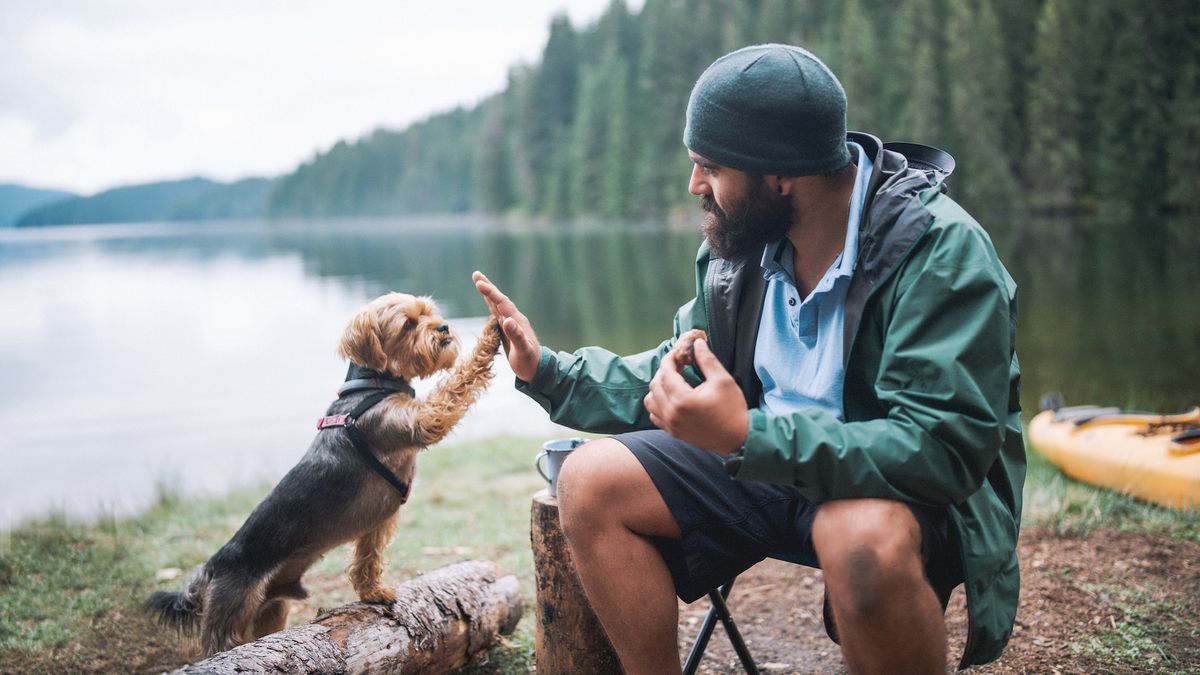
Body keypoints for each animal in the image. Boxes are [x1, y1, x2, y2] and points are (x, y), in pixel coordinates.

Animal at [146, 291, 501, 653]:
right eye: (408, 324)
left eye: (430, 313)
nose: (443, 327)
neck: (372, 385)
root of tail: (213, 566)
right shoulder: (421, 420)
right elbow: (456, 384)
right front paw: (492, 333)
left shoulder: (376, 523)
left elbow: (367, 558)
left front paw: (373, 592)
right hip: (230, 615)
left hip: (270, 610)